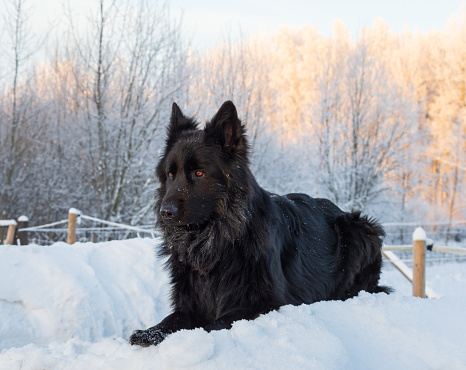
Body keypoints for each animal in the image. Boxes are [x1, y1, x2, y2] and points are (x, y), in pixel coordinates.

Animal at [128, 100, 390, 346]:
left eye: (199, 173)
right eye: (171, 175)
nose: (165, 212)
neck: (216, 242)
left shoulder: (262, 305)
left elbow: (212, 325)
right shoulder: (189, 304)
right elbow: (170, 320)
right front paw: (150, 333)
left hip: (361, 229)